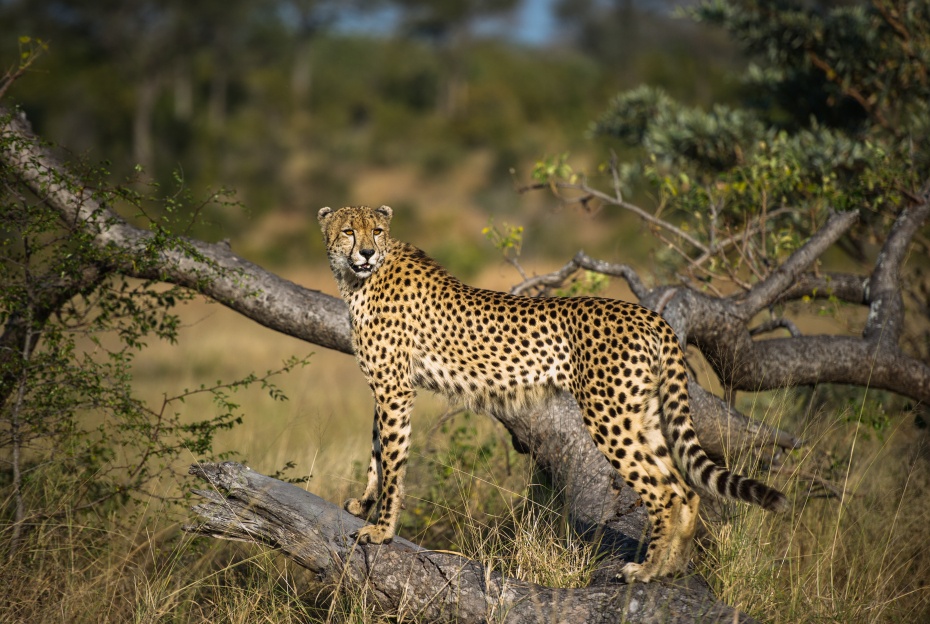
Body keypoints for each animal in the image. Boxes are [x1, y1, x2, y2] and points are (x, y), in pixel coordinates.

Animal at [318, 204, 787, 583]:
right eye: (348, 231)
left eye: (377, 231)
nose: (366, 253)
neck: (360, 280)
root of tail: (648, 313)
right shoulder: (384, 388)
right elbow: (377, 451)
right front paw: (363, 503)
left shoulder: (395, 389)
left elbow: (394, 459)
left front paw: (382, 530)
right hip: (642, 413)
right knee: (685, 487)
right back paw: (671, 566)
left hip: (609, 415)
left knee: (666, 491)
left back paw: (646, 570)